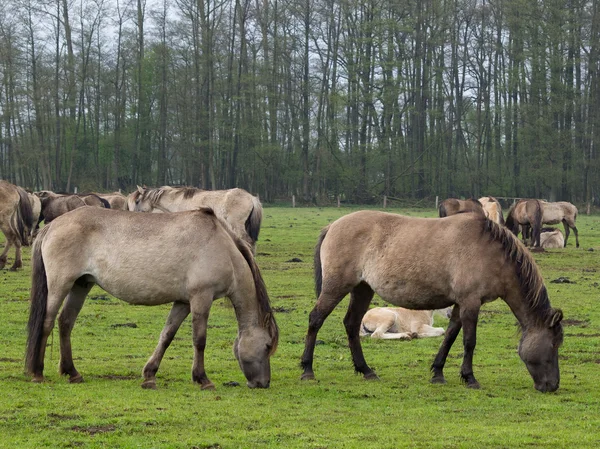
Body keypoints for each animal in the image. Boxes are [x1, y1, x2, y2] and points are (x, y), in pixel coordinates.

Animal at [25, 206, 278, 388]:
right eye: (267, 346)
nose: (263, 383)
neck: (222, 247)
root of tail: (52, 226)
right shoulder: (201, 298)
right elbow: (199, 340)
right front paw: (202, 379)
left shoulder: (183, 302)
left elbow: (167, 335)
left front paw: (149, 375)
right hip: (60, 285)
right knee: (46, 323)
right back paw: (37, 373)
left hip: (80, 285)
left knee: (65, 322)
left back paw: (73, 373)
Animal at [302, 210, 564, 392]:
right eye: (554, 344)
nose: (552, 386)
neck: (491, 253)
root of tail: (333, 226)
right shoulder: (471, 302)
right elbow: (469, 341)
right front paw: (470, 378)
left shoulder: (460, 304)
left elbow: (449, 336)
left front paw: (438, 373)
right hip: (336, 287)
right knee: (316, 319)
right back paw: (307, 370)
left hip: (362, 289)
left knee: (351, 324)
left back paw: (366, 370)